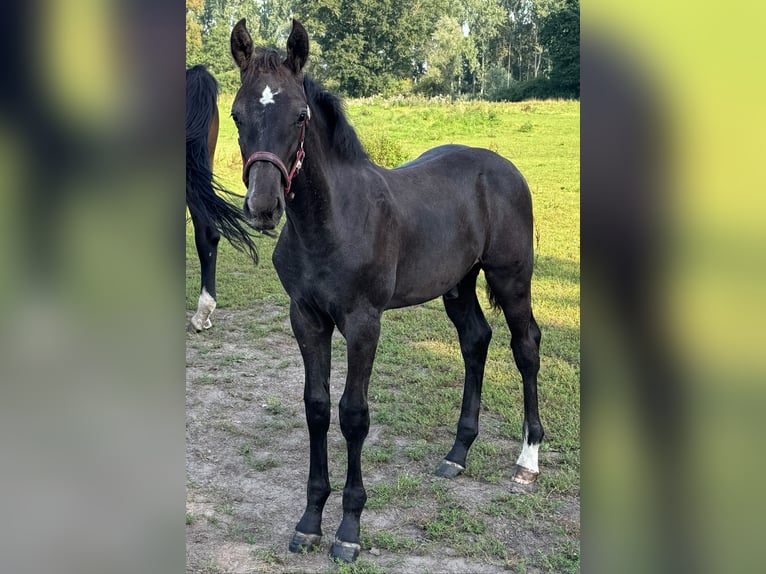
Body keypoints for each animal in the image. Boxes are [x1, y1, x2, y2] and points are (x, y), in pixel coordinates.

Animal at [229, 19, 544, 563]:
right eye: (236, 114)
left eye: (300, 117)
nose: (264, 207)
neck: (329, 222)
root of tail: (505, 167)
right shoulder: (306, 317)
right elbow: (316, 408)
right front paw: (309, 522)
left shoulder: (362, 321)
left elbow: (353, 414)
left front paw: (348, 530)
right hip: (458, 283)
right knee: (475, 340)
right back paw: (457, 454)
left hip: (510, 278)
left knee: (525, 346)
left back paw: (528, 461)